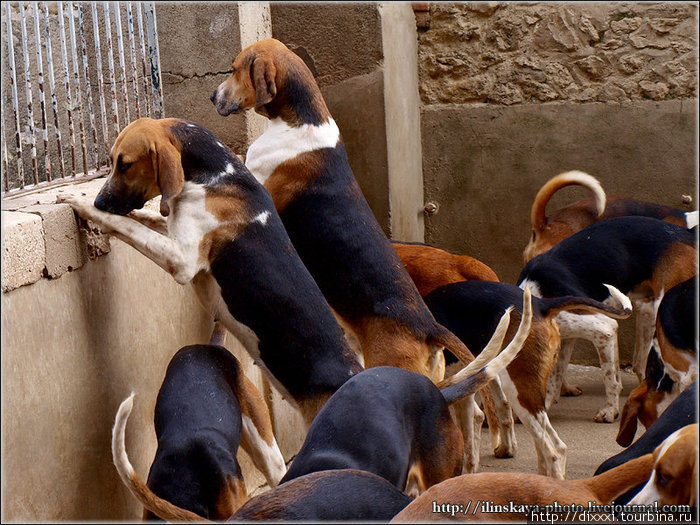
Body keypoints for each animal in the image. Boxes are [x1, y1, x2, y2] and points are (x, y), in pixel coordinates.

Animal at [58, 116, 364, 424]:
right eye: (111, 161)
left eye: (125, 164)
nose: (99, 201)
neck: (216, 175)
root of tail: (352, 376)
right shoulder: (176, 232)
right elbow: (145, 218)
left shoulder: (181, 260)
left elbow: (126, 226)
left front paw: (82, 206)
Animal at [516, 214, 696, 422]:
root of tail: (686, 233)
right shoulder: (566, 337)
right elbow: (556, 376)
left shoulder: (604, 329)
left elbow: (610, 379)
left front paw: (610, 411)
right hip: (647, 311)